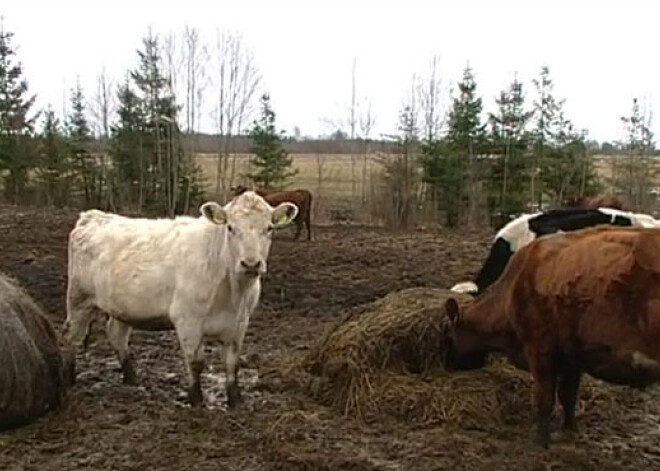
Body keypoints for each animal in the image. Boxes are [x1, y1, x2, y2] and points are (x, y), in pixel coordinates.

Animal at [62, 192, 300, 410]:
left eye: (269, 228)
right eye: (231, 228)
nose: (251, 264)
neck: (233, 291)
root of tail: (92, 216)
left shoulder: (239, 323)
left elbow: (232, 363)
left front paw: (236, 401)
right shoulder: (188, 321)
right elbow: (195, 363)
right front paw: (196, 401)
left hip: (122, 306)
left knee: (116, 335)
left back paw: (131, 378)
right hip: (78, 298)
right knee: (72, 336)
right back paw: (69, 378)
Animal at [440, 227, 660, 448]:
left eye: (448, 334)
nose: (448, 364)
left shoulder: (539, 351)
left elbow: (544, 398)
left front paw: (541, 439)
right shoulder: (573, 357)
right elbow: (568, 395)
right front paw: (570, 430)